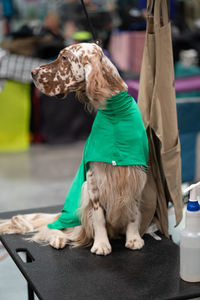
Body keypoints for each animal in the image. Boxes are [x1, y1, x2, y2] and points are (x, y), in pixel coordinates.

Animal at [0, 42, 147, 255]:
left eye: (64, 58)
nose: (32, 72)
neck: (115, 113)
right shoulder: (93, 181)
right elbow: (98, 217)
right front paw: (101, 244)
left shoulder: (136, 175)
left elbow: (134, 212)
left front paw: (134, 239)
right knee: (57, 229)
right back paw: (58, 239)